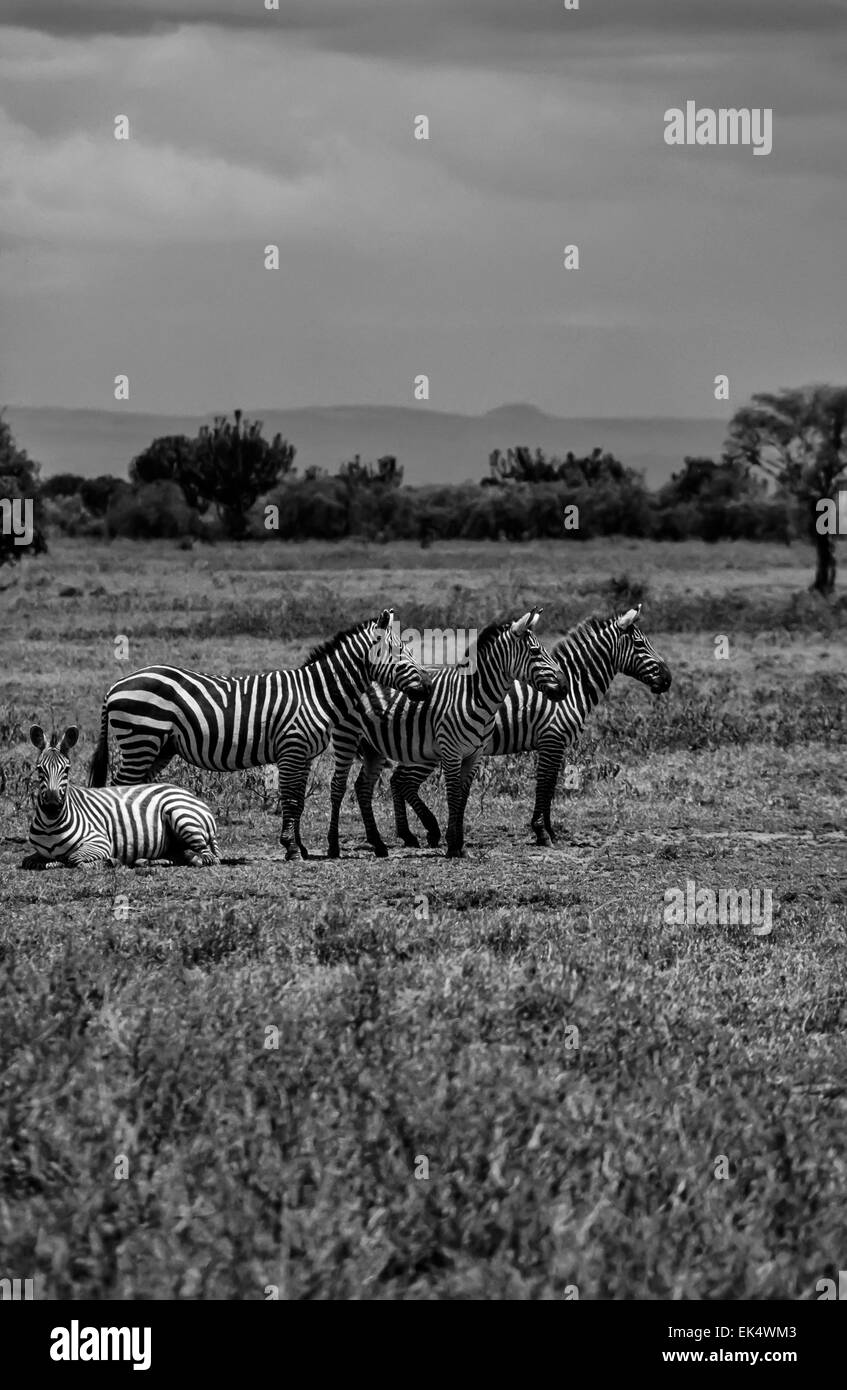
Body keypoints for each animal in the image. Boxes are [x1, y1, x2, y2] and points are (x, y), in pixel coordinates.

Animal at [22, 725, 220, 869]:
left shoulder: (99, 842)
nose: (52, 806)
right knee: (179, 855)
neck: (50, 826)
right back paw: (146, 861)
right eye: (39, 769)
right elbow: (29, 861)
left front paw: (109, 861)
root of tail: (191, 795)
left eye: (67, 769)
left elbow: (75, 859)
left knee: (208, 857)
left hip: (182, 816)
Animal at [88, 609, 430, 860]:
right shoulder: (292, 748)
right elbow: (290, 798)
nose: (427, 686)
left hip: (158, 747)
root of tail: (115, 685)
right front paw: (292, 849)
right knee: (118, 789)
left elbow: (298, 801)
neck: (316, 694)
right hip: (141, 739)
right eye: (400, 651)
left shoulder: (303, 755)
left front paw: (299, 846)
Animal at [327, 608, 567, 859]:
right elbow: (452, 795)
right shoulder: (452, 752)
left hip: (373, 747)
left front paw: (459, 843)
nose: (564, 687)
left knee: (363, 787)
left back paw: (378, 844)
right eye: (535, 652)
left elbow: (462, 797)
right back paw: (334, 846)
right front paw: (453, 845)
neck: (473, 696)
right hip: (346, 737)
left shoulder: (474, 755)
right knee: (338, 785)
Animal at [371, 605, 671, 850]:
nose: (667, 679)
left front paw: (548, 830)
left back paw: (411, 834)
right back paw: (424, 832)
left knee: (398, 781)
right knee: (402, 781)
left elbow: (550, 786)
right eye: (640, 644)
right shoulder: (551, 739)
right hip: (426, 748)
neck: (573, 686)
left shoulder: (555, 745)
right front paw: (542, 832)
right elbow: (545, 785)